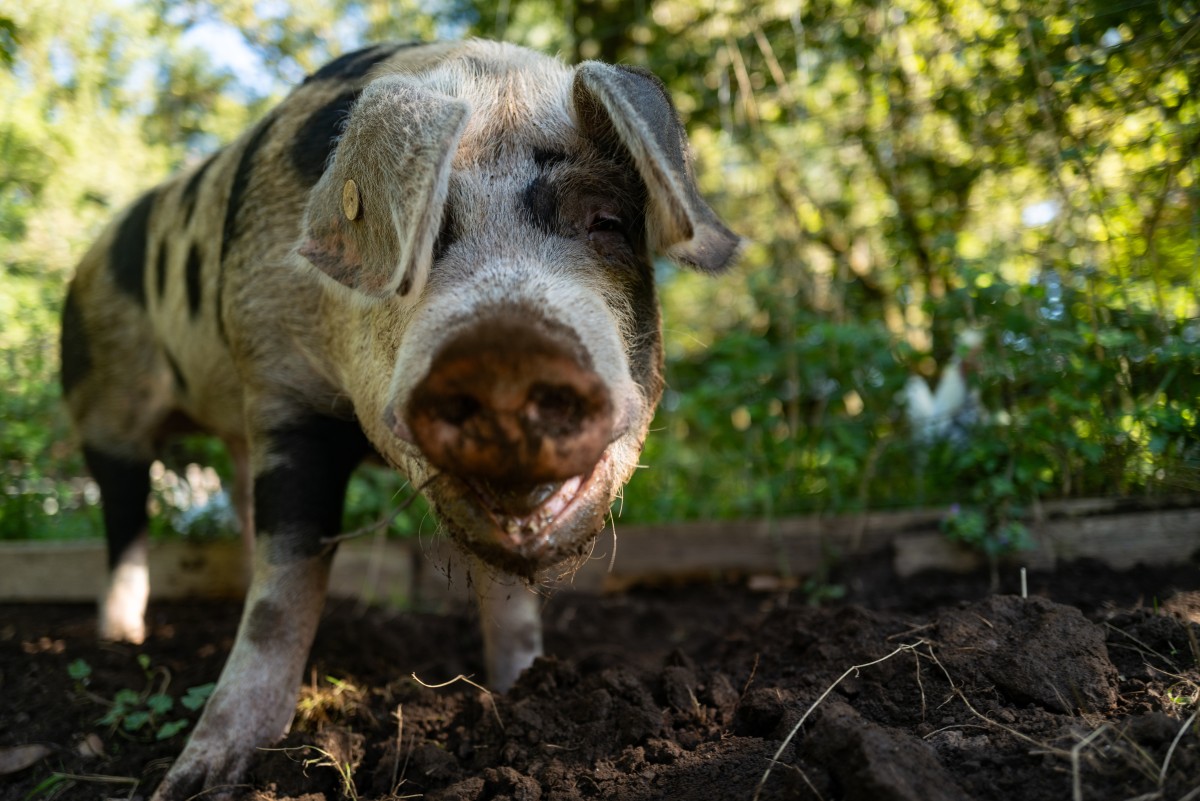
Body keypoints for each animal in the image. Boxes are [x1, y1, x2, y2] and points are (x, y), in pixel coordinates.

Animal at [65, 38, 744, 801]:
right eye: (424, 238)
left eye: (607, 223)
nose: (507, 348)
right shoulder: (280, 388)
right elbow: (284, 589)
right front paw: (193, 782)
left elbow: (505, 595)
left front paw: (519, 687)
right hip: (101, 409)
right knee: (126, 525)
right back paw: (122, 641)